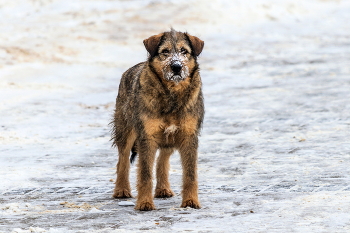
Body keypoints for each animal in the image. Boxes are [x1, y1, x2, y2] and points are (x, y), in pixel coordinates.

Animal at [111, 28, 205, 210]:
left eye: (184, 51)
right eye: (165, 51)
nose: (176, 66)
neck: (172, 95)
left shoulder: (189, 136)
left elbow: (190, 174)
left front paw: (191, 201)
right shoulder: (146, 136)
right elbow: (145, 174)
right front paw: (145, 203)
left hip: (169, 137)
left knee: (162, 159)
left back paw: (163, 189)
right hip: (125, 131)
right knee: (123, 161)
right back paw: (121, 190)